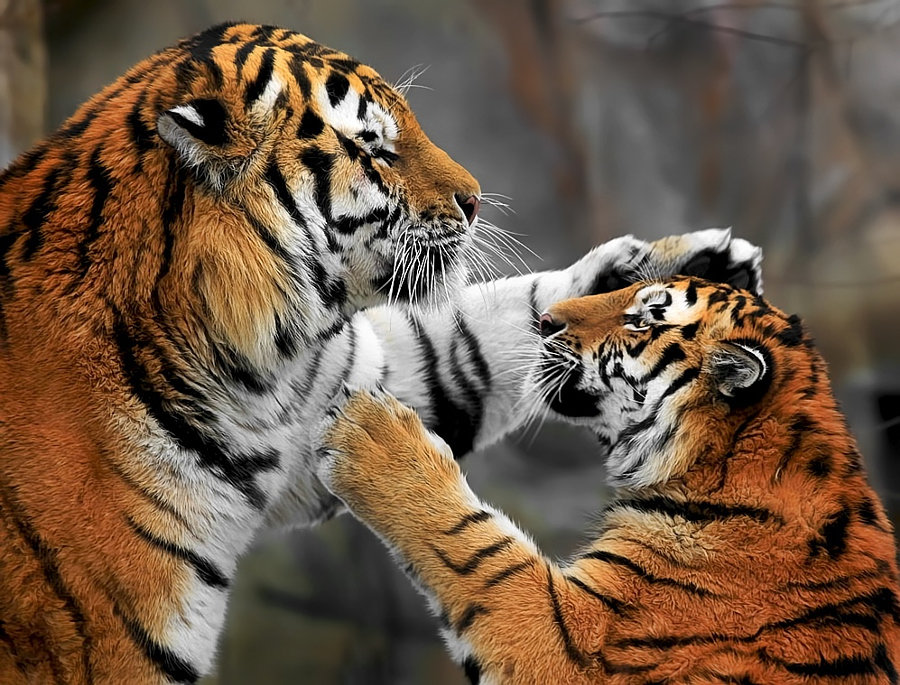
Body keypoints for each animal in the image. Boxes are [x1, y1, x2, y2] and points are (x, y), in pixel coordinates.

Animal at [0, 19, 766, 684]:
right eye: (374, 146)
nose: (474, 200)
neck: (252, 364)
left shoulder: (339, 390)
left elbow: (469, 339)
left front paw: (691, 267)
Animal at [320, 278, 900, 684]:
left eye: (641, 320)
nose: (544, 320)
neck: (720, 464)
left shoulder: (585, 644)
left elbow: (485, 553)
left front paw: (369, 433)